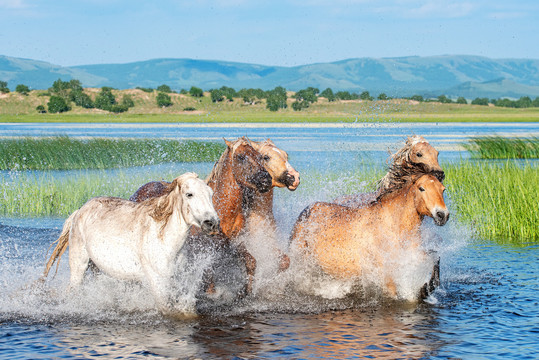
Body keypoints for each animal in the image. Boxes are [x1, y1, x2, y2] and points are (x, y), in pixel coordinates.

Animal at [42, 173, 219, 314]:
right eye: (189, 194)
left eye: (210, 194)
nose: (212, 223)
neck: (165, 241)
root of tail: (79, 210)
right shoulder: (157, 283)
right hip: (79, 265)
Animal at [288, 172, 450, 300]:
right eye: (421, 188)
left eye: (442, 189)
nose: (442, 215)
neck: (393, 226)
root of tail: (307, 211)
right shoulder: (385, 274)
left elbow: (434, 258)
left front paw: (426, 288)